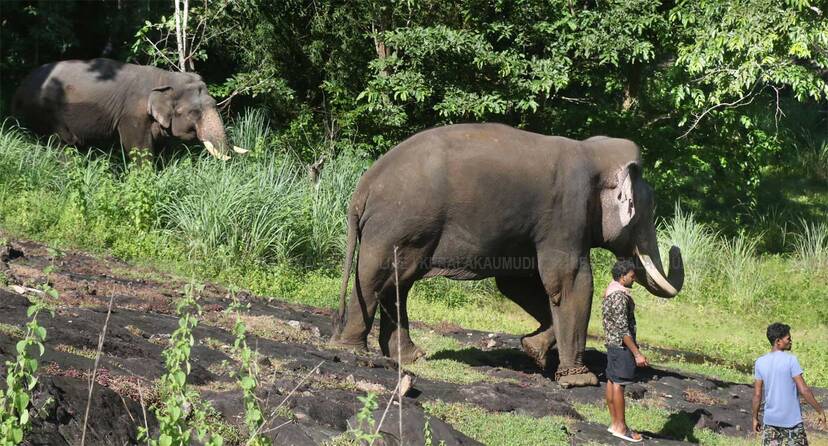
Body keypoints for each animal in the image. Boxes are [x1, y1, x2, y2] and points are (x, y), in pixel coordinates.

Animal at [11, 58, 246, 160]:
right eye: (194, 113)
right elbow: (139, 148)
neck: (166, 78)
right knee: (60, 143)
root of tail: (20, 86)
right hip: (44, 112)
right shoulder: (132, 114)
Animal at [330, 123, 684, 388]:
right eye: (647, 211)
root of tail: (363, 186)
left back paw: (410, 356)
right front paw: (579, 381)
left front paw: (533, 350)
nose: (674, 247)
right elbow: (569, 280)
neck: (594, 153)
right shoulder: (567, 213)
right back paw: (356, 350)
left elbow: (518, 283)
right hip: (399, 223)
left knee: (396, 283)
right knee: (378, 278)